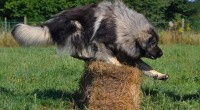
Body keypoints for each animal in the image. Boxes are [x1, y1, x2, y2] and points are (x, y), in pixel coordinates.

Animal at [11, 0, 168, 80]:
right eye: (152, 43)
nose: (161, 53)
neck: (124, 27)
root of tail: (52, 23)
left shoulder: (127, 53)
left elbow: (146, 66)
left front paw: (158, 75)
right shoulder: (100, 42)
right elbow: (113, 59)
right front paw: (118, 66)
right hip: (76, 27)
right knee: (76, 51)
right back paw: (89, 56)